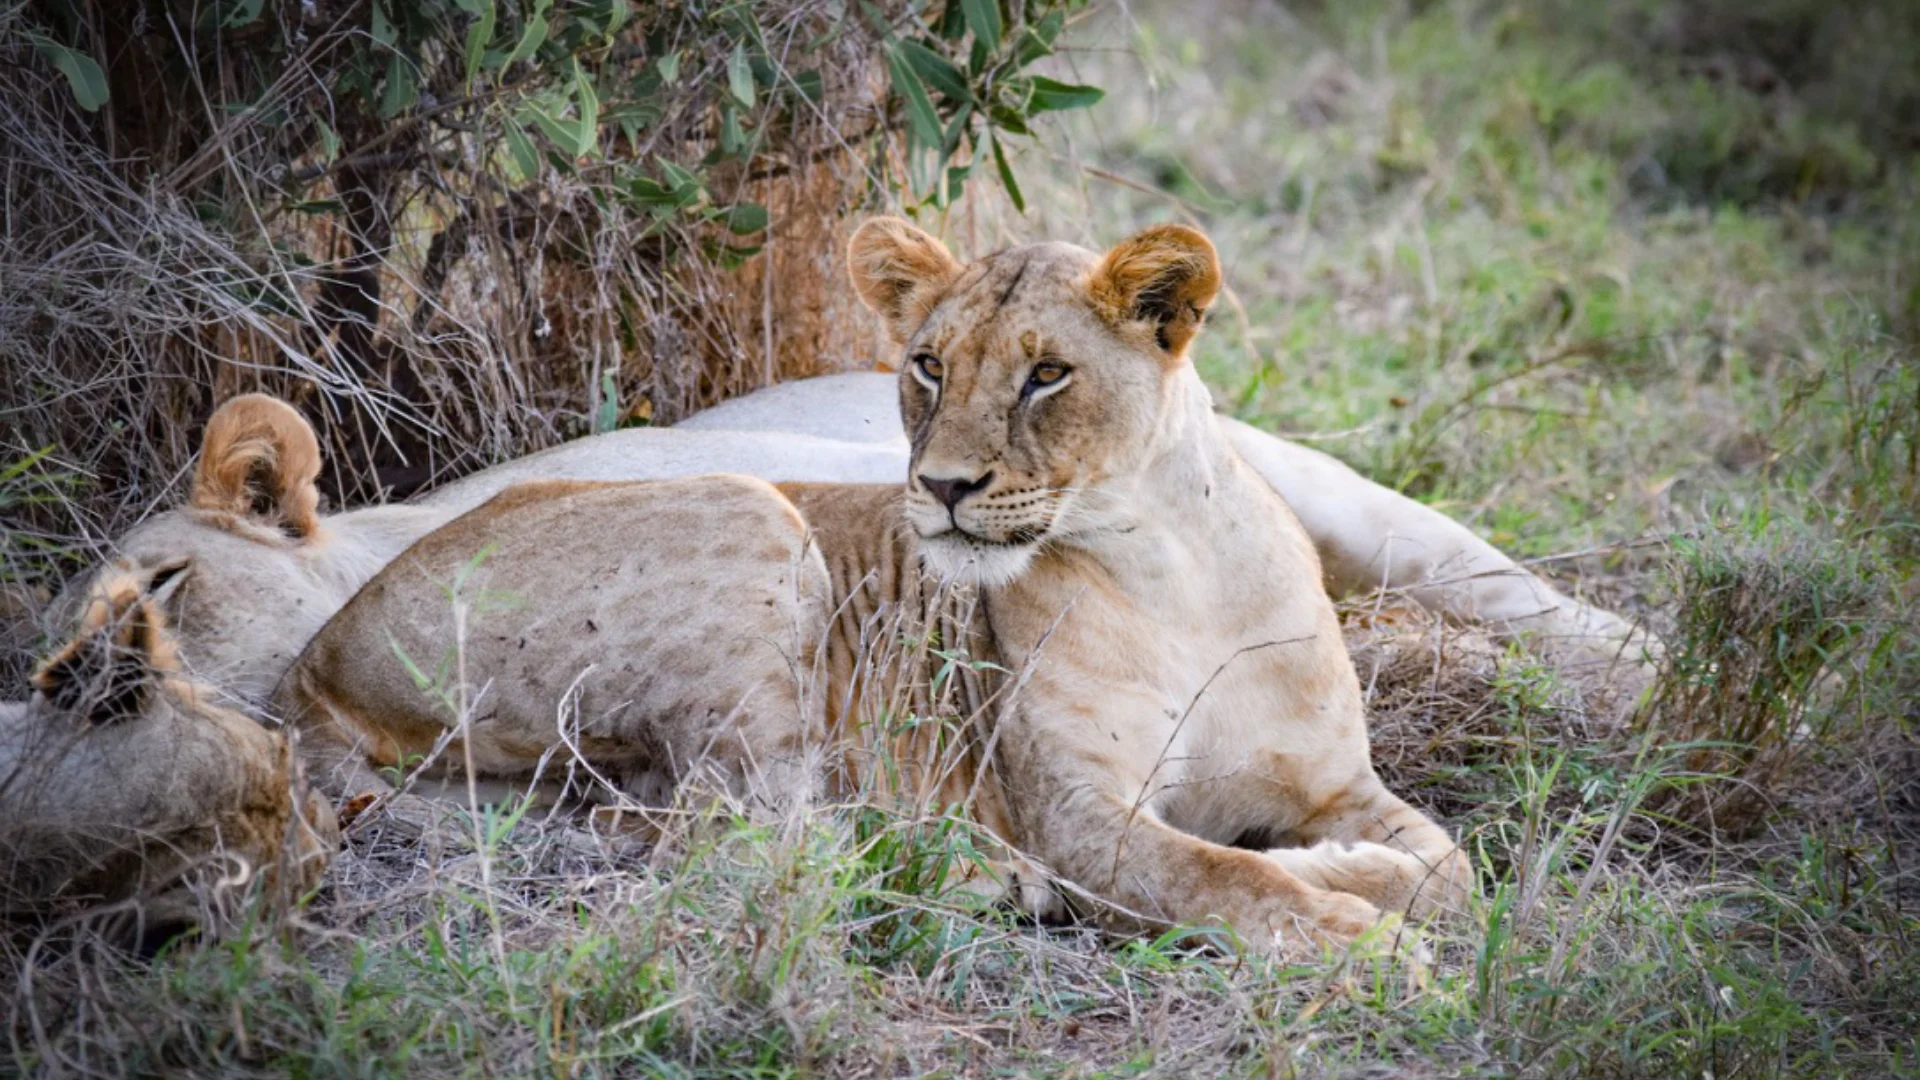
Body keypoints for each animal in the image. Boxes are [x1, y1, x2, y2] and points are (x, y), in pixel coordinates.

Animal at [270, 220, 1471, 956]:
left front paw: (1352, 871)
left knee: (663, 827)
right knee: (738, 846)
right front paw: (1356, 940)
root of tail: (314, 661)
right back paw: (979, 876)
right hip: (753, 523)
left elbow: (1450, 869)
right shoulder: (1078, 819)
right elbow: (1225, 880)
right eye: (930, 364)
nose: (940, 487)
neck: (1173, 573)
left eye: (1047, 374)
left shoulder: (1334, 780)